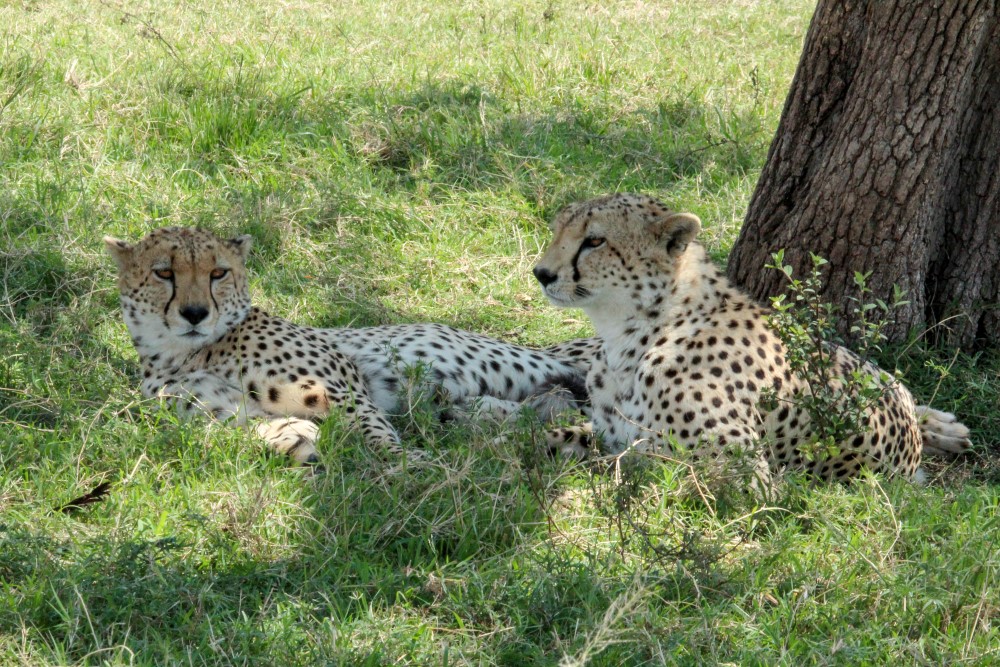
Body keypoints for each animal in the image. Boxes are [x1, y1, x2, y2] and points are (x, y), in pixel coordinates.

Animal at [103, 227, 584, 462]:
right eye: (164, 272)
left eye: (218, 273)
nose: (195, 313)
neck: (188, 352)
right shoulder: (216, 409)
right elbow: (257, 424)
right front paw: (295, 441)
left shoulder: (342, 387)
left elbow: (375, 432)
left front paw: (408, 466)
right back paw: (477, 418)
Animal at [536, 193, 972, 480]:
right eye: (557, 230)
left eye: (595, 241)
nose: (542, 273)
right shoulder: (608, 430)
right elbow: (560, 437)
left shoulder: (742, 474)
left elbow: (640, 462)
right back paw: (947, 430)